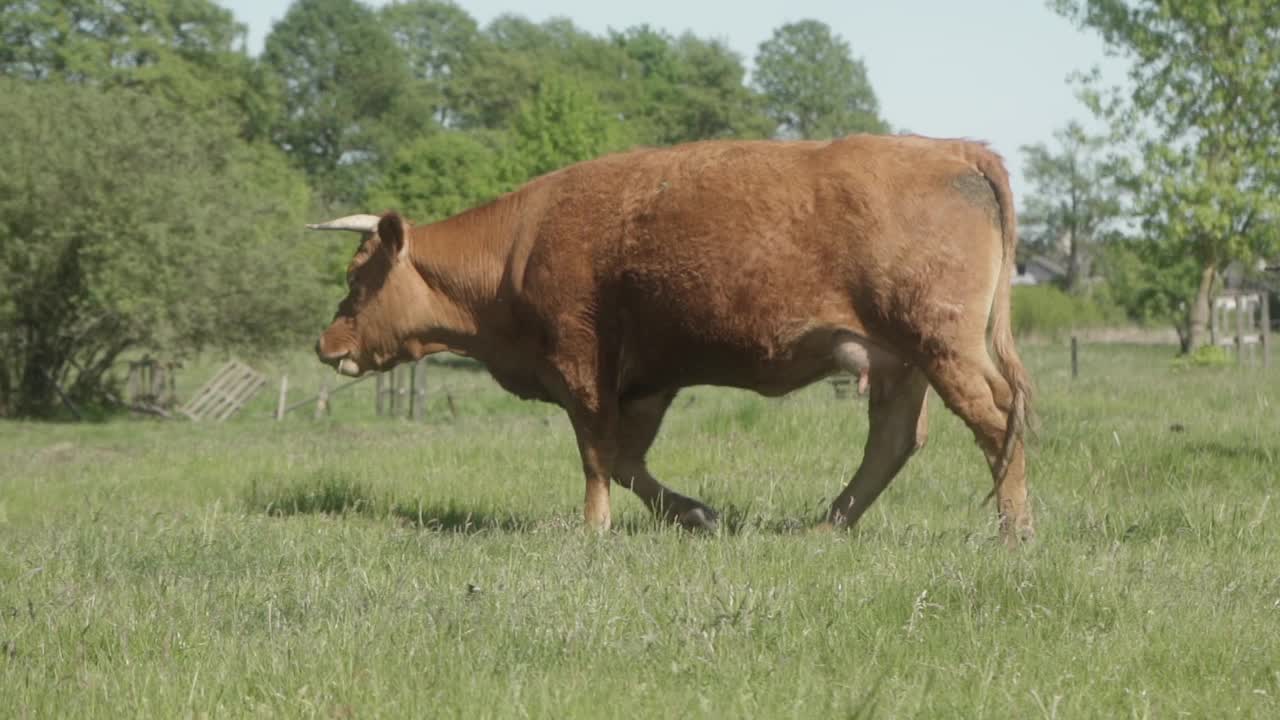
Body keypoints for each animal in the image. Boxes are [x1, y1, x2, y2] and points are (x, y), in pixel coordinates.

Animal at [312, 131, 1039, 540]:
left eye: (357, 276)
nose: (325, 344)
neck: (517, 249)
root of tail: (950, 148)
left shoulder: (582, 367)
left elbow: (596, 455)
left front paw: (594, 529)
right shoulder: (645, 382)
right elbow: (627, 461)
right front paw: (695, 515)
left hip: (943, 347)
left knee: (997, 419)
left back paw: (1014, 531)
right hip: (900, 359)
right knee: (893, 442)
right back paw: (824, 528)